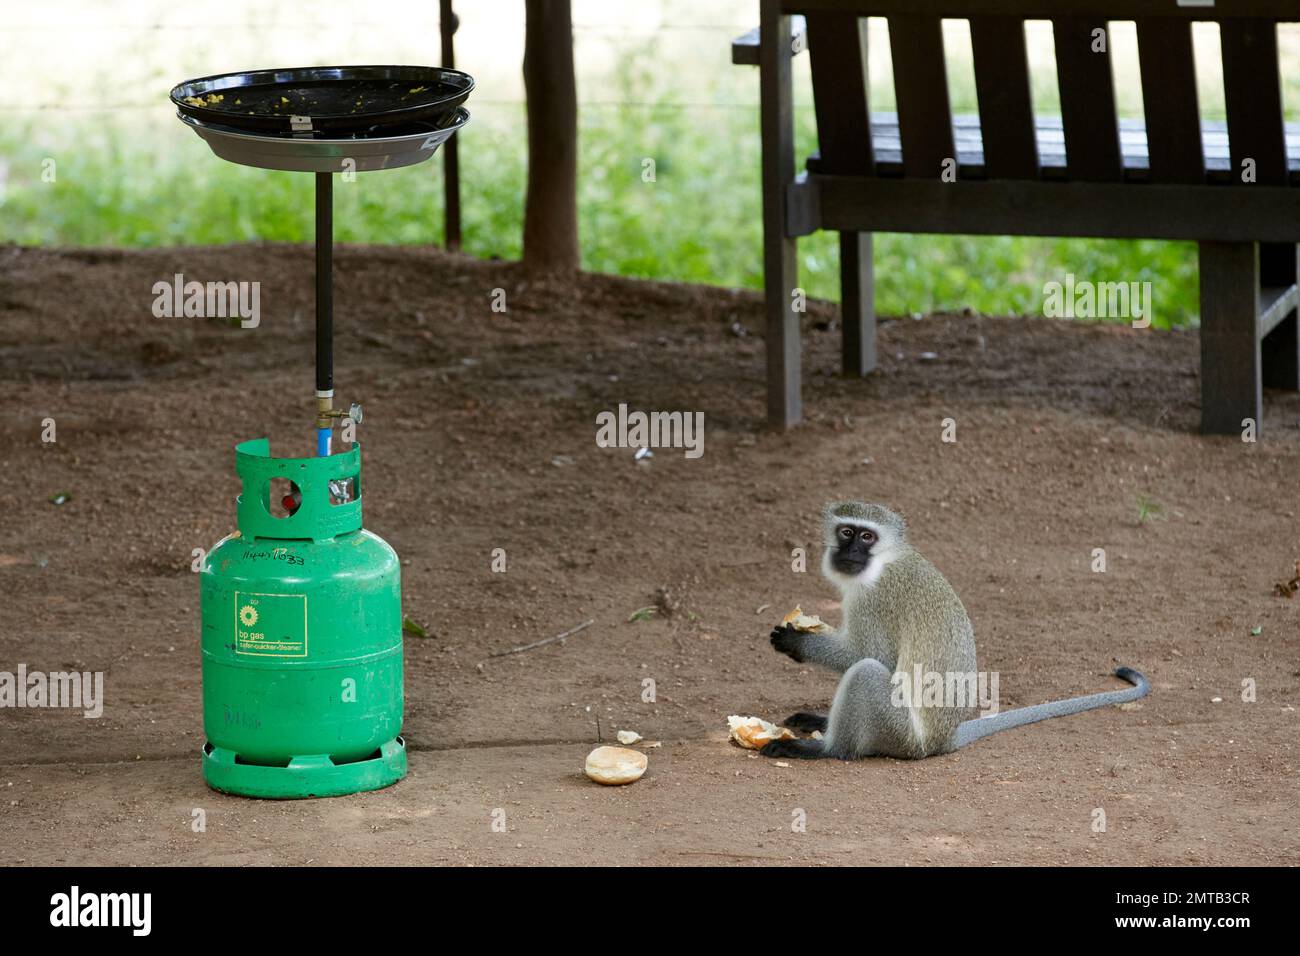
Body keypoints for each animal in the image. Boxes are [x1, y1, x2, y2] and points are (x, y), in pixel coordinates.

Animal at [760, 501, 1149, 760]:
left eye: (867, 536)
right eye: (846, 532)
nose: (851, 551)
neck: (884, 561)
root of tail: (941, 741)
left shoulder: (876, 598)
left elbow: (871, 655)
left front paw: (796, 641)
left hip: (898, 732)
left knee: (866, 673)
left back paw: (825, 748)